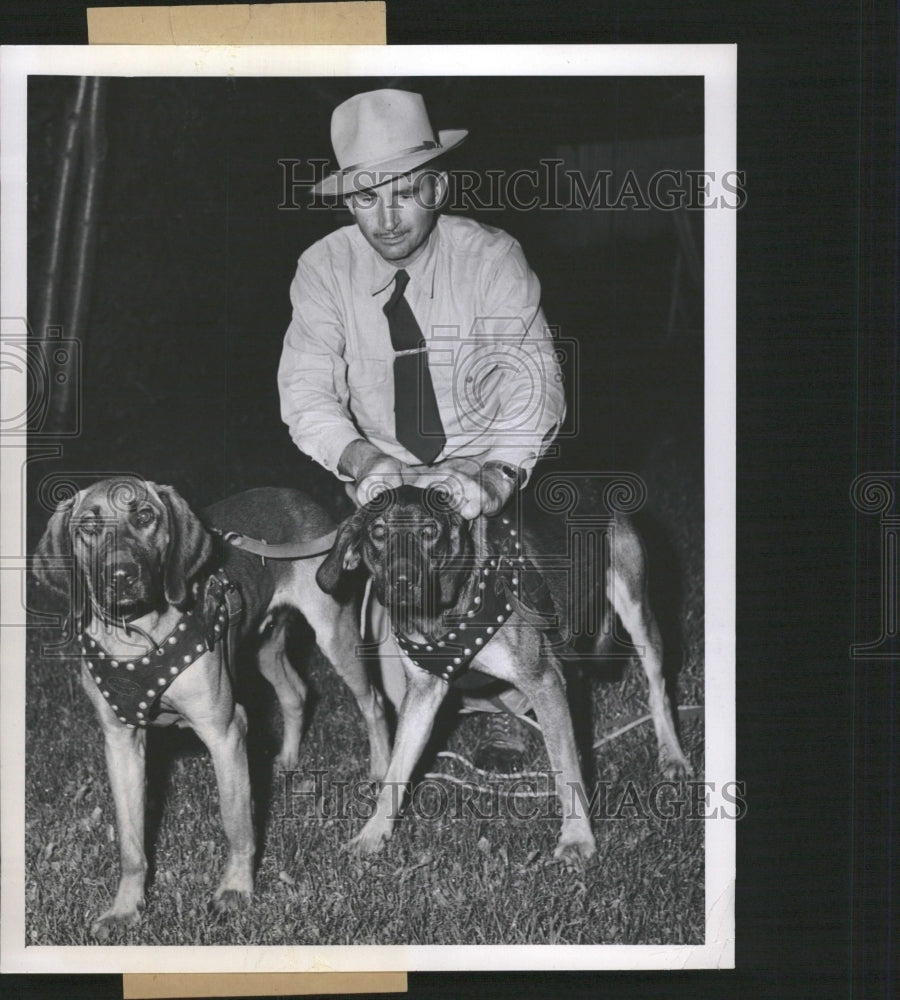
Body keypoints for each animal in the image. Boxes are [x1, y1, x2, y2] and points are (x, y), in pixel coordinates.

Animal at [32, 476, 390, 936]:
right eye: (88, 528)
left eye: (145, 516)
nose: (121, 575)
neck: (137, 639)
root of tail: (295, 495)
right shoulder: (120, 741)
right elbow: (131, 842)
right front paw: (126, 907)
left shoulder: (224, 732)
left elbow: (236, 823)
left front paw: (235, 889)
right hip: (264, 647)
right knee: (295, 693)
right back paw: (289, 758)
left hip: (334, 632)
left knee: (373, 702)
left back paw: (381, 771)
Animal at [320, 484, 692, 860]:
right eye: (378, 532)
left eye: (429, 532)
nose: (402, 582)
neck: (441, 614)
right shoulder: (424, 691)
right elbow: (396, 770)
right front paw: (372, 833)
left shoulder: (543, 681)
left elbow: (566, 766)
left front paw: (577, 837)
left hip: (636, 608)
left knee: (658, 689)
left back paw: (672, 755)